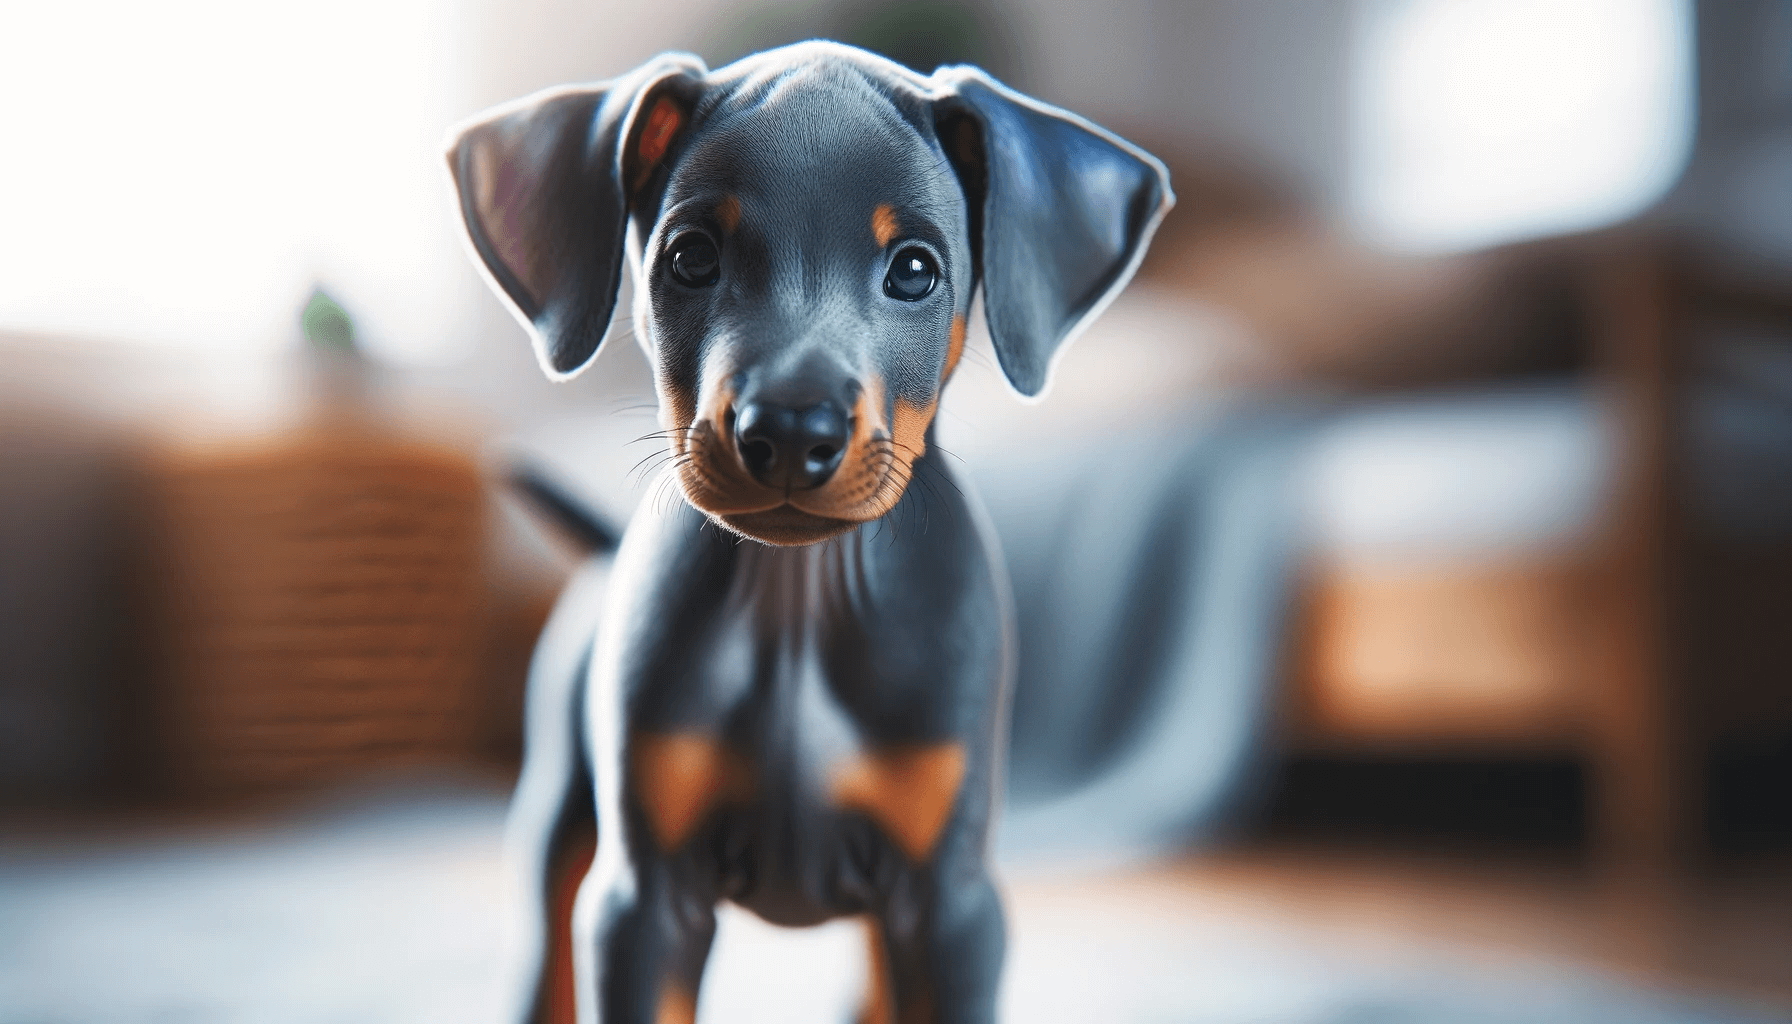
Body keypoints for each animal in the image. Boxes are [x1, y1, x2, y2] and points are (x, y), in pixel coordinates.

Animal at [448, 40, 1175, 1024]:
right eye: (690, 257)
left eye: (915, 270)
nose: (791, 433)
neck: (797, 600)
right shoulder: (644, 902)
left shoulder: (949, 905)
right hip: (561, 818)